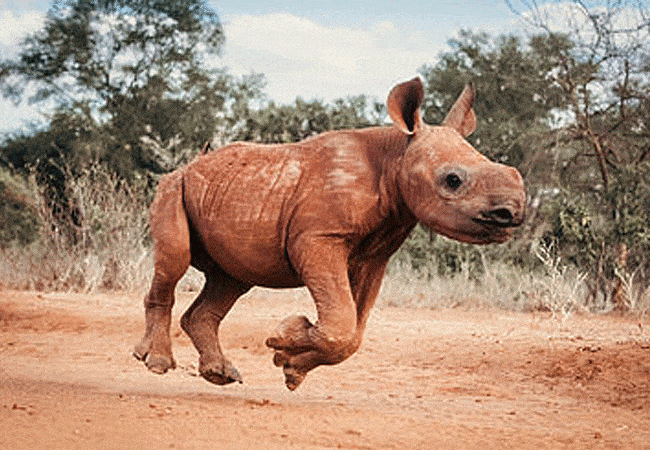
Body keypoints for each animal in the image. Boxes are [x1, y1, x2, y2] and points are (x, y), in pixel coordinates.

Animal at [134, 76, 524, 390]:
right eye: (452, 180)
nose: (513, 212)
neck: (397, 155)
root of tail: (187, 165)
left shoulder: (375, 253)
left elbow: (352, 332)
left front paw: (289, 363)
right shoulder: (319, 237)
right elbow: (340, 320)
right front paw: (286, 337)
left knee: (231, 278)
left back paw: (219, 375)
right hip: (174, 187)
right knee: (176, 259)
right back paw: (155, 363)